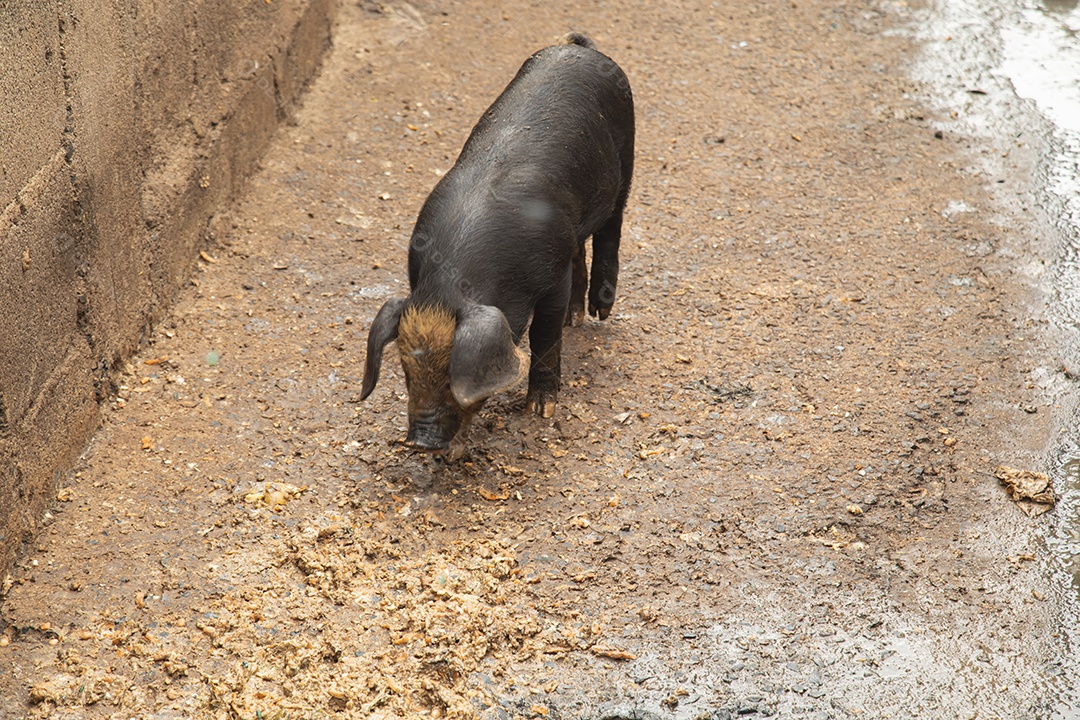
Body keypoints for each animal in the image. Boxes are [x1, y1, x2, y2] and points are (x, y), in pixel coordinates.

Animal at [359, 32, 635, 460]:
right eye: (406, 371)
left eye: (452, 374)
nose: (421, 442)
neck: (453, 281)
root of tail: (579, 47)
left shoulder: (550, 275)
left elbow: (544, 335)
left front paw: (541, 410)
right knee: (581, 246)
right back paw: (576, 318)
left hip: (627, 153)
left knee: (612, 228)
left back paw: (599, 311)